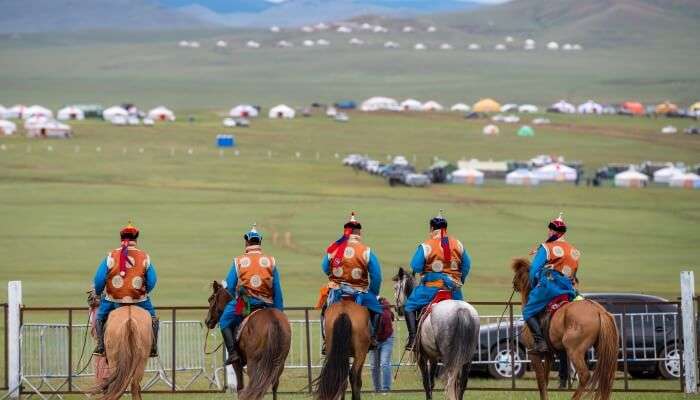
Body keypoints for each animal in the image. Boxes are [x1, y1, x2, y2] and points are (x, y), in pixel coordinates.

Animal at [394, 268, 482, 400]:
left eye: (395, 288)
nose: (397, 309)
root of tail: (461, 310)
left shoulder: (422, 357)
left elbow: (426, 383)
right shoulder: (433, 357)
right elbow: (432, 383)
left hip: (448, 358)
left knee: (450, 381)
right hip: (467, 358)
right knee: (461, 384)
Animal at [508, 258, 616, 400]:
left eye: (518, 273)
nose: (514, 283)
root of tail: (599, 311)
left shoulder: (534, 354)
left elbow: (541, 382)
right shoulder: (548, 355)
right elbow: (545, 381)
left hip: (574, 351)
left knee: (584, 375)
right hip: (601, 348)